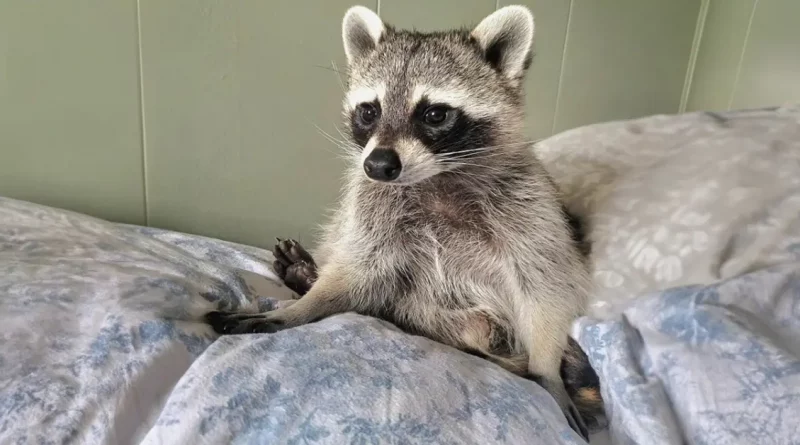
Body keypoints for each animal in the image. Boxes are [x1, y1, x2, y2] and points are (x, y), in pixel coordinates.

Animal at [206, 5, 600, 438]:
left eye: (435, 114)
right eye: (369, 110)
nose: (378, 165)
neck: (436, 179)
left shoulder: (531, 211)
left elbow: (546, 290)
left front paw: (547, 370)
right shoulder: (371, 210)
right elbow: (354, 273)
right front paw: (301, 307)